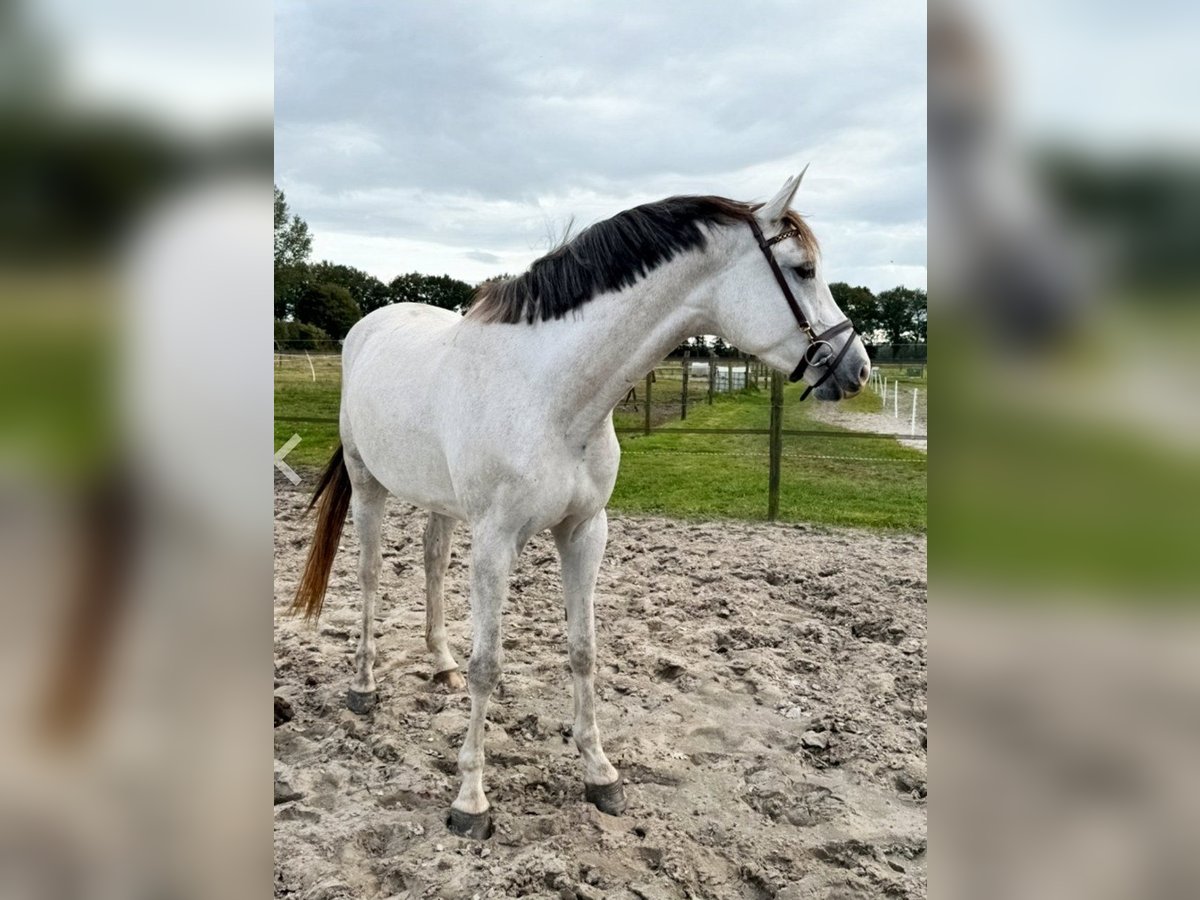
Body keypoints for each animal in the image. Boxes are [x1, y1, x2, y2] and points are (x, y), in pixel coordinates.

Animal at [292, 174, 873, 840]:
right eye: (803, 270)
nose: (858, 368)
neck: (550, 393)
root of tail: (370, 326)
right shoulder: (496, 541)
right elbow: (488, 664)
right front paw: (470, 801)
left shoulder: (584, 532)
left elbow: (583, 650)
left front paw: (600, 774)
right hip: (368, 486)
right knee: (367, 577)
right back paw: (364, 687)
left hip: (442, 503)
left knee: (433, 563)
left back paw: (439, 665)